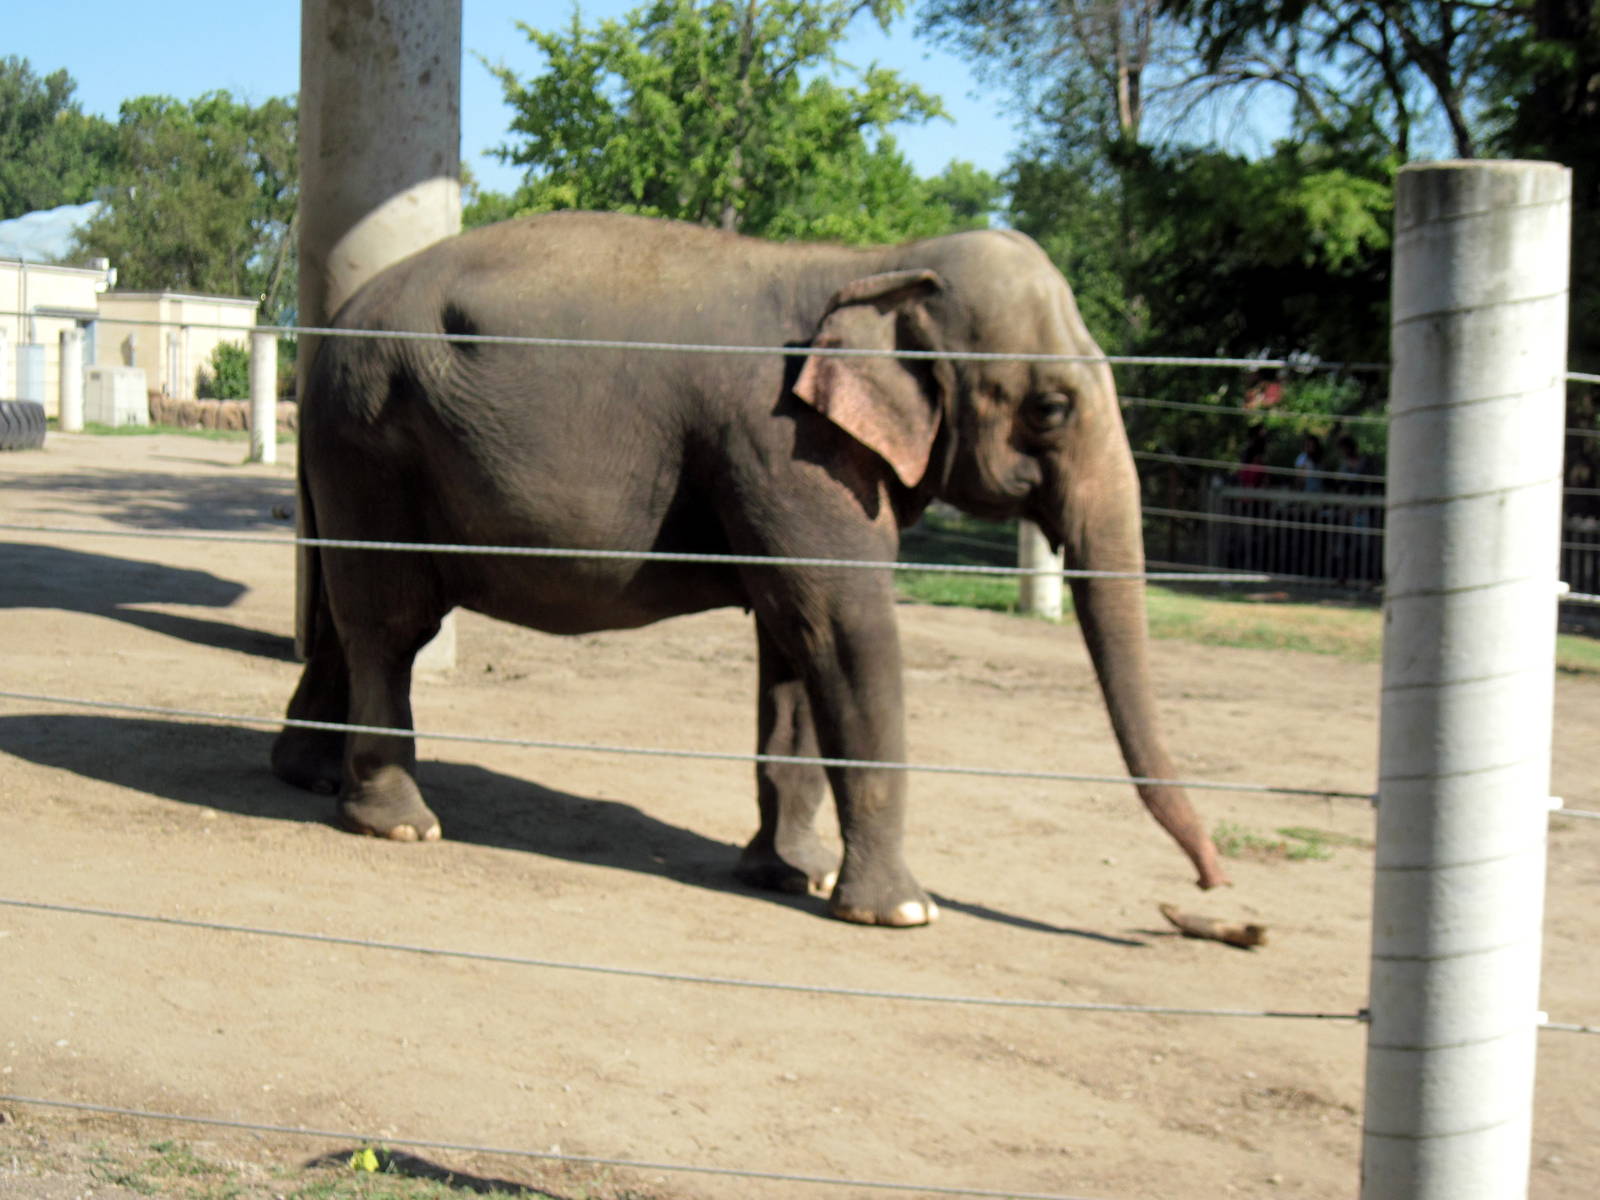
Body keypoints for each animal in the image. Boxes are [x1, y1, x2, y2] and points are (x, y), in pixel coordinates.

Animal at [271, 210, 1229, 927]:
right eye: (1053, 408)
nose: (1217, 894)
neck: (880, 266)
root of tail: (329, 327)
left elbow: (795, 647)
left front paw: (790, 875)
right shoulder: (785, 444)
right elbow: (846, 630)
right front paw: (900, 913)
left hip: (348, 451)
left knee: (339, 614)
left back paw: (308, 776)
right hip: (373, 438)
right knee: (391, 625)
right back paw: (400, 826)